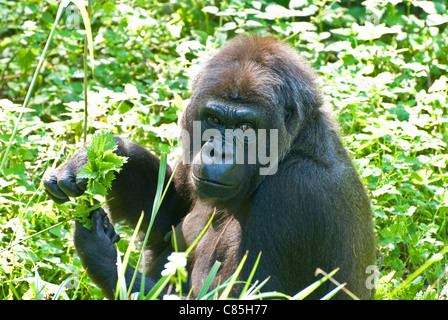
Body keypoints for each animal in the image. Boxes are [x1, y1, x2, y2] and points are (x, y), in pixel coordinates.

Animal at [44, 35, 374, 300]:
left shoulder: (295, 193)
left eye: (246, 127)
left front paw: (99, 253)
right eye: (213, 119)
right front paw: (99, 155)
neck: (294, 145)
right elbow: (162, 216)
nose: (218, 151)